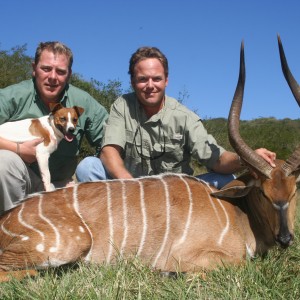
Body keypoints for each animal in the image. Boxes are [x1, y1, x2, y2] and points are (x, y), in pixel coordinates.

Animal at [0, 35, 298, 282]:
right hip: (69, 244)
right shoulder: (190, 257)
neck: (236, 213)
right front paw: (165, 274)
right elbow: (236, 265)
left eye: (295, 192)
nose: (286, 238)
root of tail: (7, 219)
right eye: (263, 192)